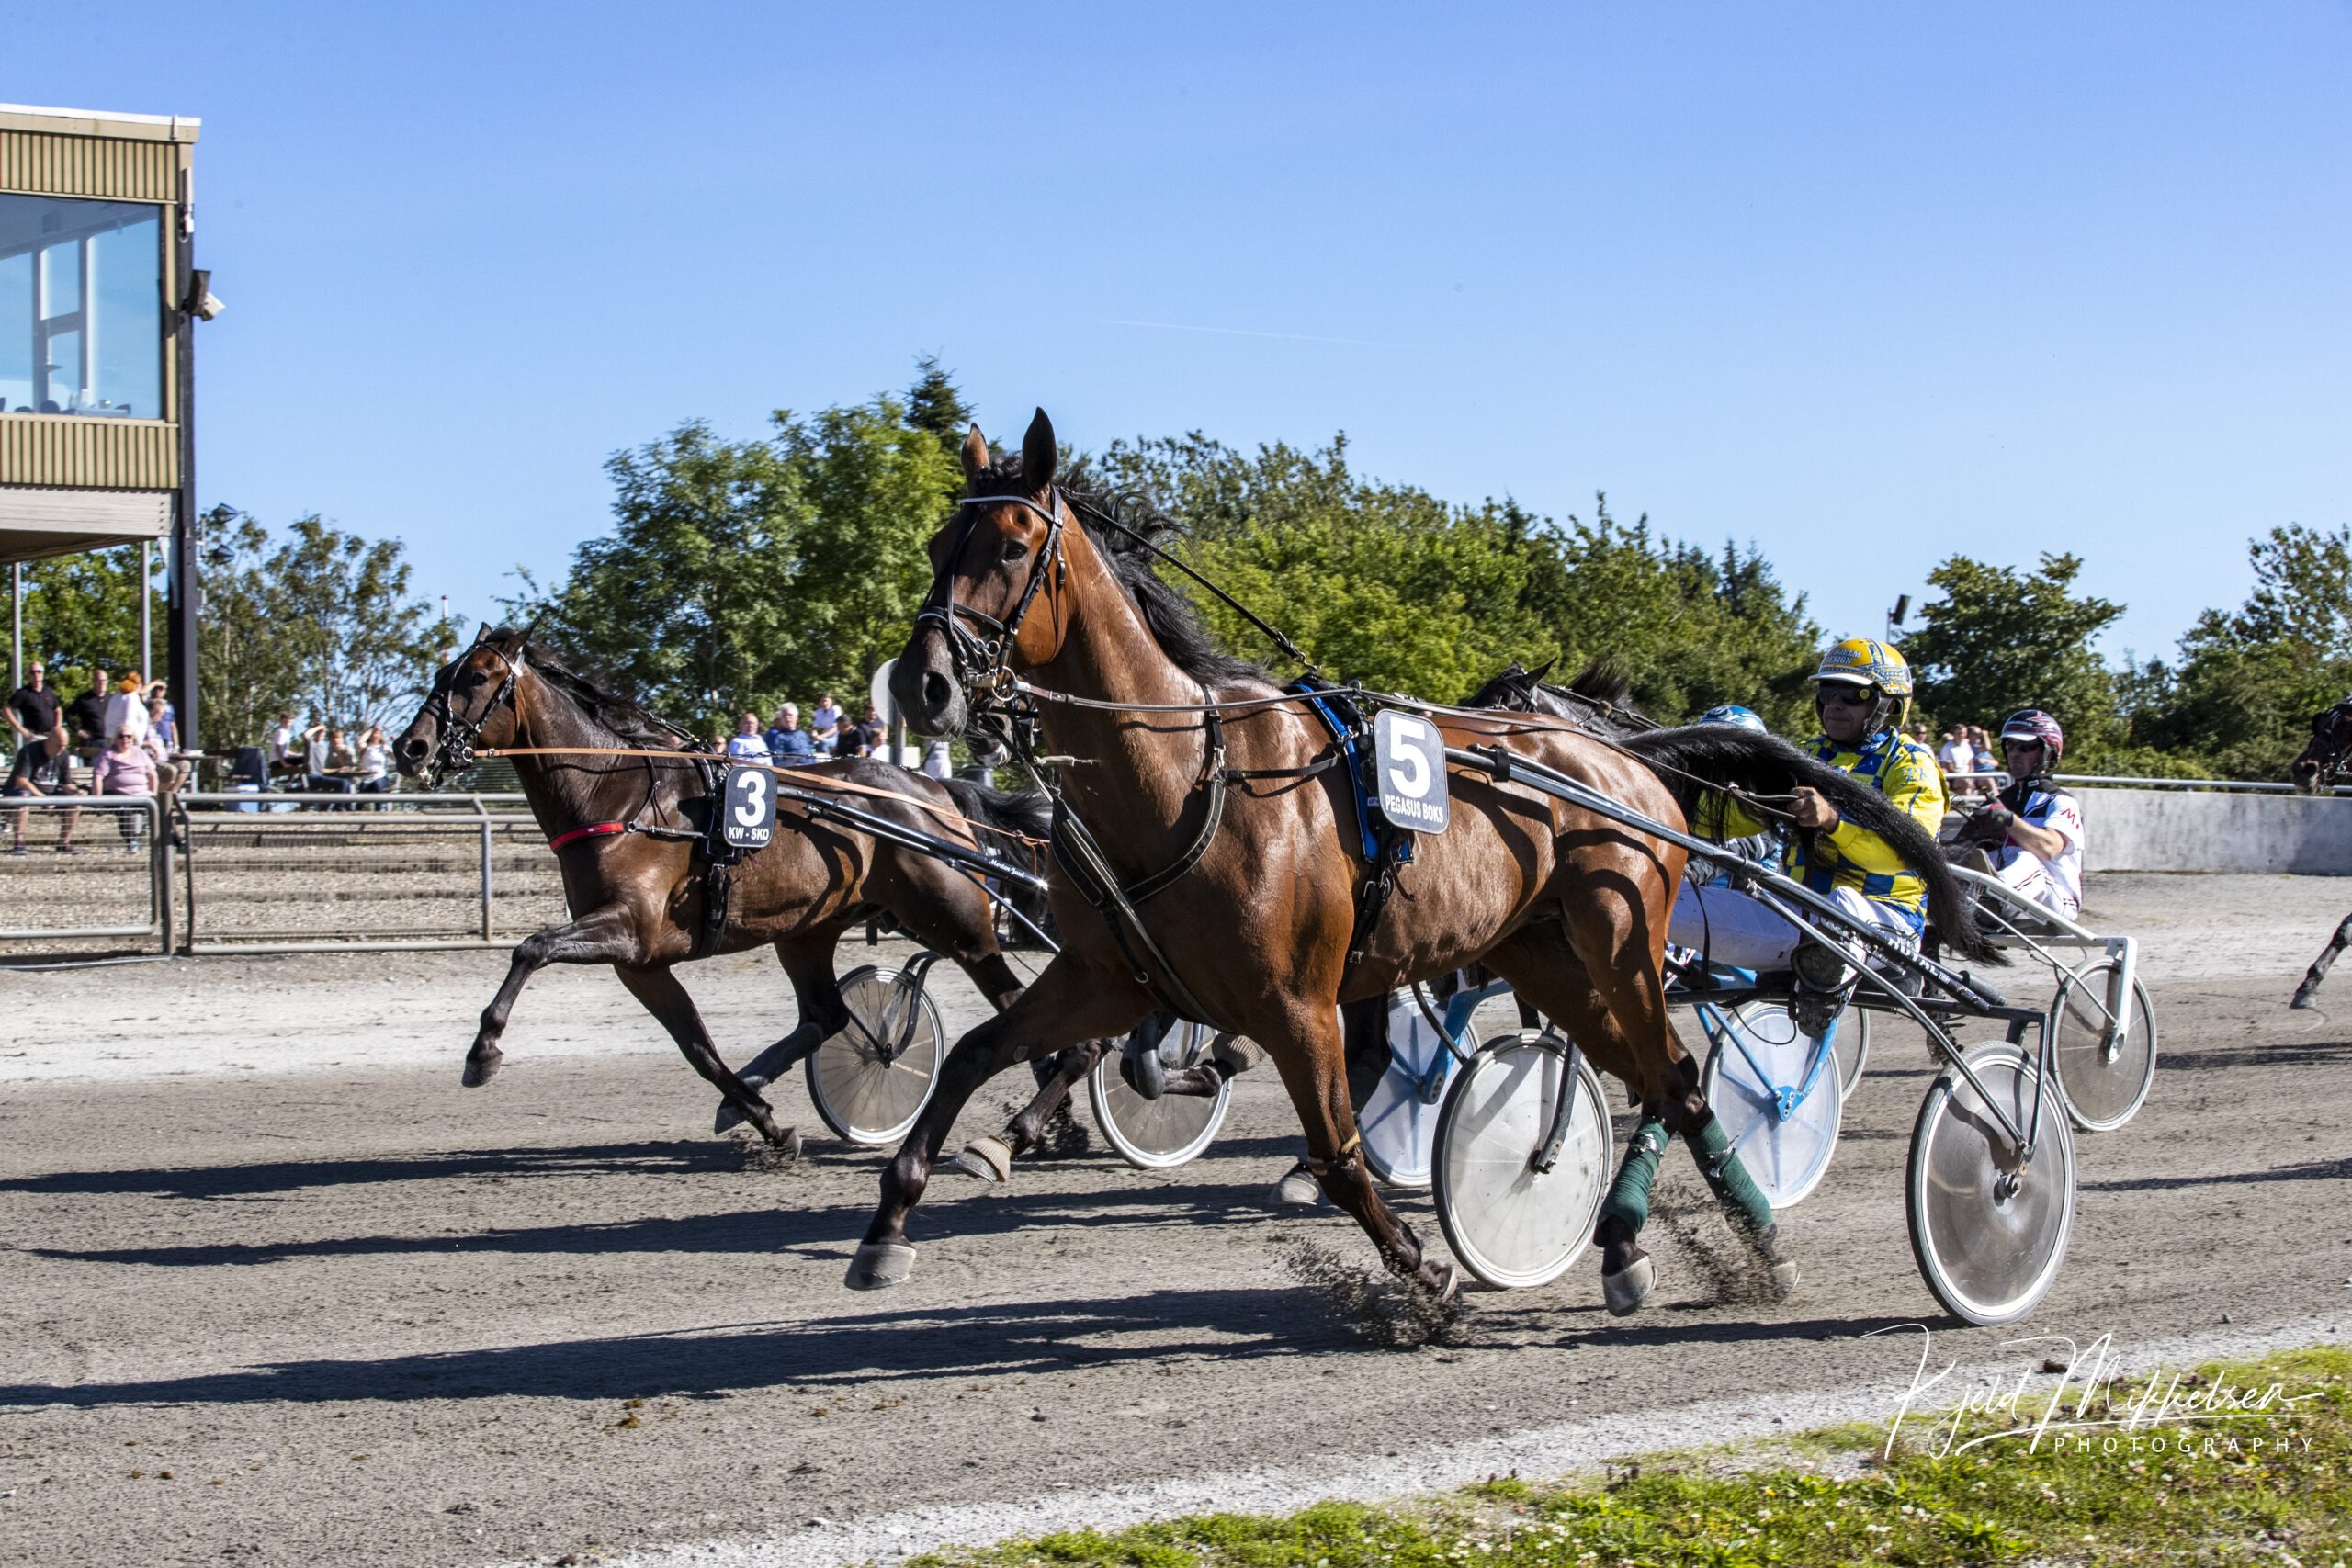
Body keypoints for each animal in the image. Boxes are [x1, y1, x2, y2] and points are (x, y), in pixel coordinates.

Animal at [395, 629, 1101, 1161]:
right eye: (441, 671)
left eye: (477, 677)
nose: (411, 746)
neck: (617, 795)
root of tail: (934, 792)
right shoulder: (641, 962)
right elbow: (698, 1049)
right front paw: (767, 1122)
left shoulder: (626, 926)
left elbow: (531, 947)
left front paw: (482, 1053)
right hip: (808, 931)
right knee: (829, 1016)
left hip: (959, 927)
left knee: (1048, 1023)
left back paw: (1034, 1120)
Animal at [846, 411, 1984, 1306]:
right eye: (940, 537)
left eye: (1009, 543)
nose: (922, 684)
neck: (1188, 782)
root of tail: (1624, 754)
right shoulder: (1108, 976)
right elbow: (975, 1054)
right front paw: (890, 1223)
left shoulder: (1296, 1002)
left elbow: (1339, 1149)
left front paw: (1424, 1271)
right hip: (1545, 956)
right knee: (1664, 1081)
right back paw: (1657, 1245)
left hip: (1619, 942)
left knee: (1676, 1075)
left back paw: (1740, 1233)